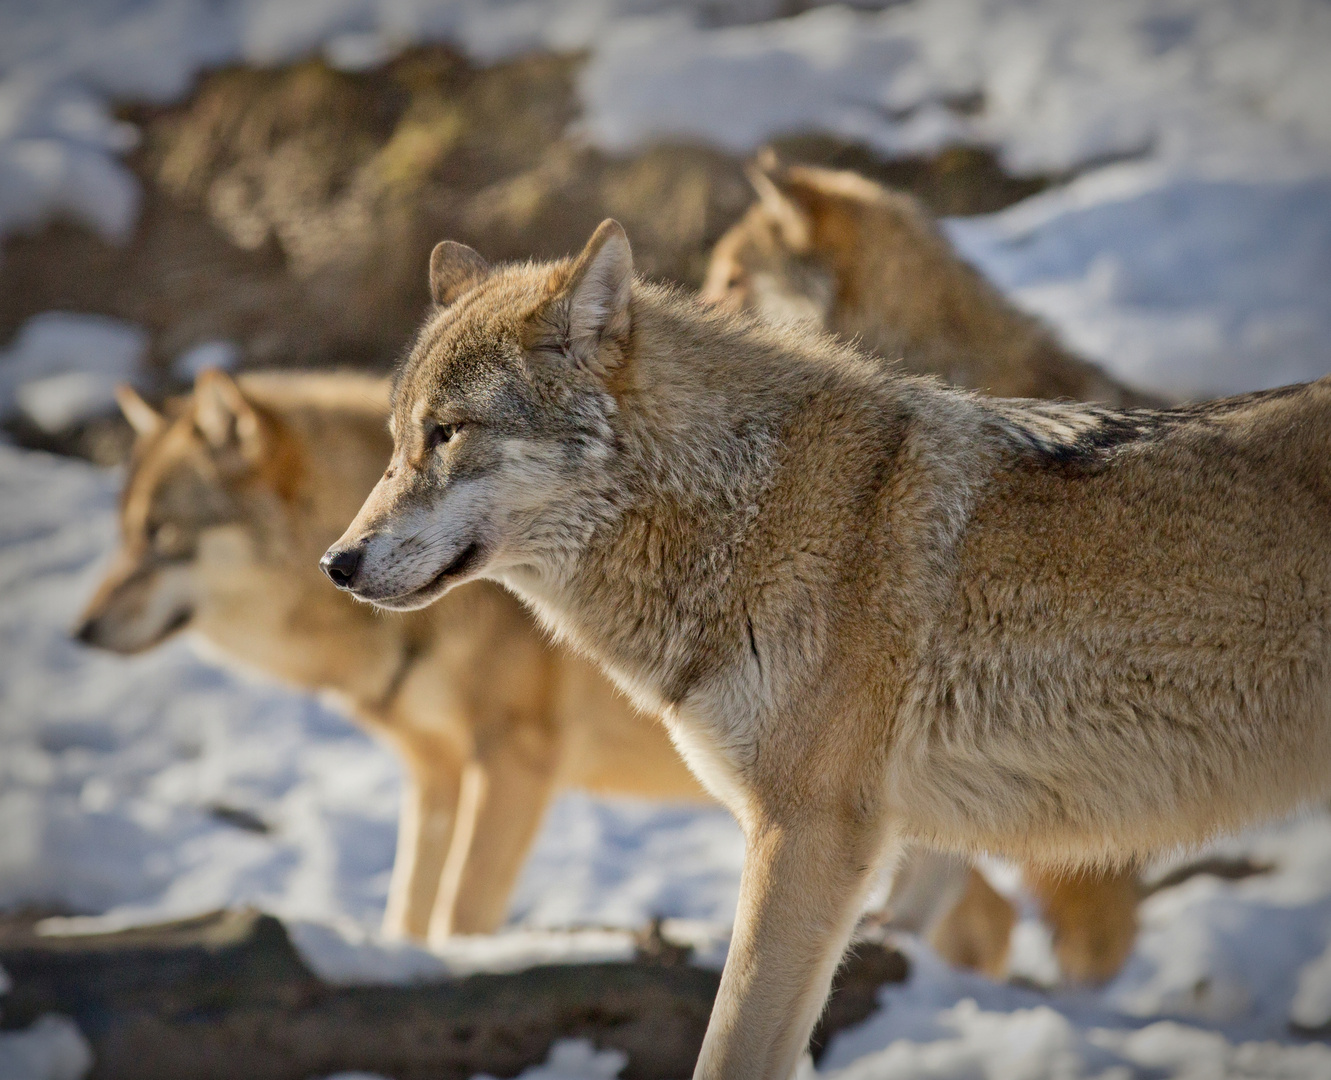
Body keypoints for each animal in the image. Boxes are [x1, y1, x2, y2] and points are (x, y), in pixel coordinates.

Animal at [75, 372, 708, 948]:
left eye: (161, 533)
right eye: (126, 534)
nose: (80, 629)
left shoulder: (513, 762)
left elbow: (457, 917)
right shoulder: (434, 774)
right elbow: (408, 913)